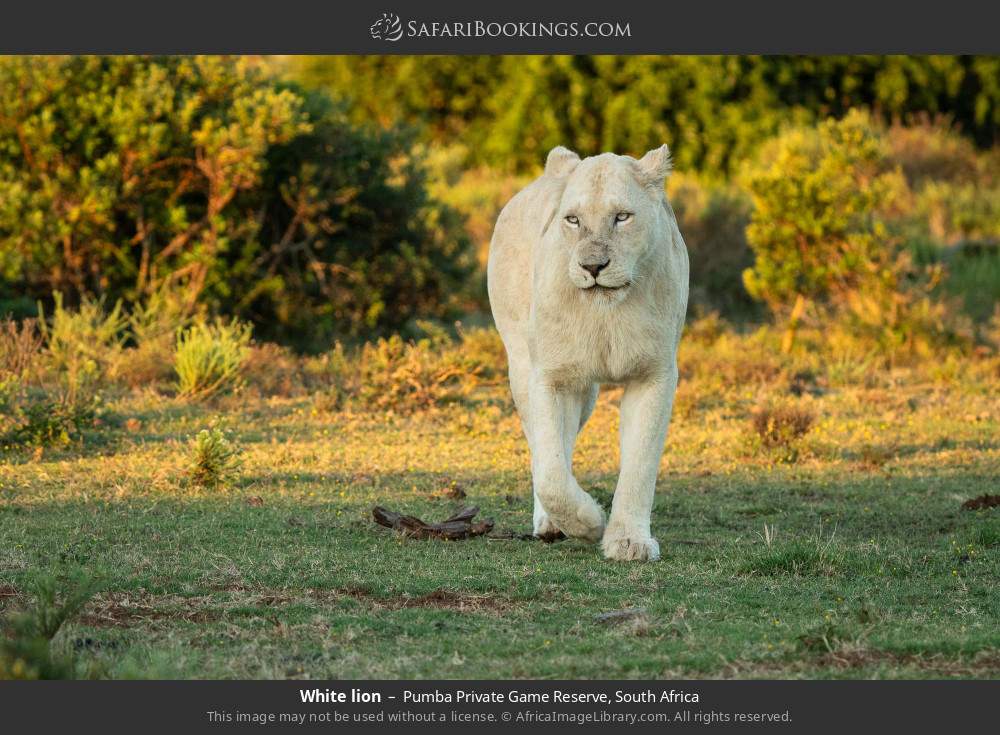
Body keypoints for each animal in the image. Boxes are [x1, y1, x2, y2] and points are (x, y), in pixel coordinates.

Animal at [487, 145, 689, 561]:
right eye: (573, 219)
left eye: (622, 217)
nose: (592, 266)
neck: (604, 313)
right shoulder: (551, 375)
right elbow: (550, 471)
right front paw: (590, 522)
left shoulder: (654, 374)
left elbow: (640, 464)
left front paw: (628, 542)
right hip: (522, 366)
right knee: (544, 447)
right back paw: (551, 524)